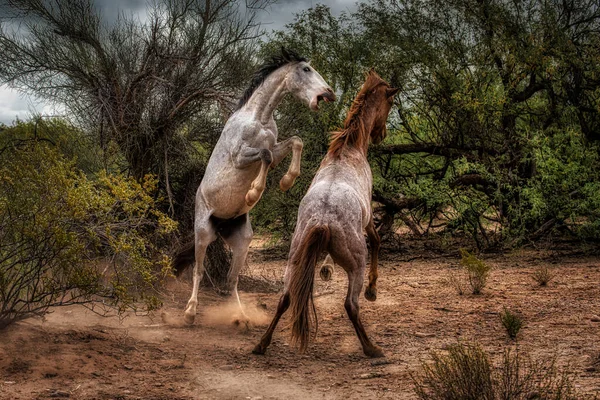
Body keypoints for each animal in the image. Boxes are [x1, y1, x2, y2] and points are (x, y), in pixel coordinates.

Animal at [183, 48, 336, 324]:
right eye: (306, 69)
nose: (329, 92)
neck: (259, 118)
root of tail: (220, 226)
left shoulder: (276, 150)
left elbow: (295, 141)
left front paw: (287, 181)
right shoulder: (241, 155)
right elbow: (263, 154)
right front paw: (253, 194)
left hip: (243, 242)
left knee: (231, 281)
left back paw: (241, 318)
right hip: (202, 234)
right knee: (198, 272)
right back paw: (190, 312)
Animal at [252, 70, 398, 358]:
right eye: (389, 103)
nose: (382, 134)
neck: (347, 151)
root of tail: (322, 220)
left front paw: (327, 268)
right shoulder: (367, 218)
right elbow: (377, 240)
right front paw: (373, 290)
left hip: (294, 260)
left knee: (285, 298)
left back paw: (262, 343)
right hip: (356, 265)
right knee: (350, 305)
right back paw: (371, 348)